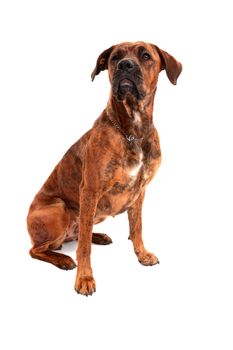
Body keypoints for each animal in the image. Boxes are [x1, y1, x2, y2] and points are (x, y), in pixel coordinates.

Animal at [27, 41, 182, 296]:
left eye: (145, 56)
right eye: (115, 58)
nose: (125, 65)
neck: (132, 131)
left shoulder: (139, 192)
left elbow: (137, 228)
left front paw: (142, 254)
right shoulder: (90, 190)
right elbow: (83, 249)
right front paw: (84, 278)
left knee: (79, 233)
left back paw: (96, 236)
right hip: (59, 209)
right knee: (38, 249)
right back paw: (63, 259)